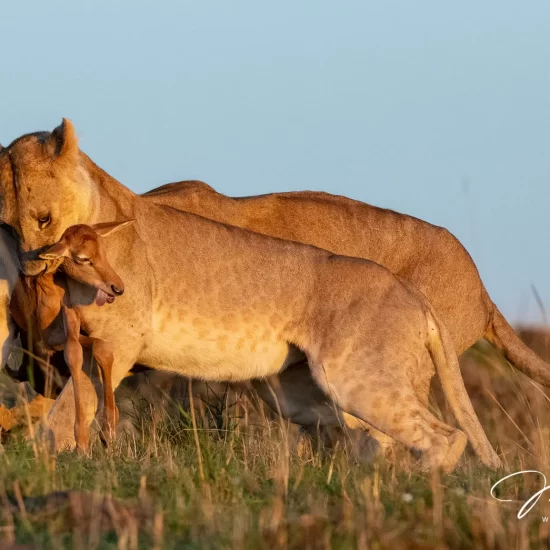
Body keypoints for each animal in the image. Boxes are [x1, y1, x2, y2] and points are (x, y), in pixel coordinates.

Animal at [9, 222, 132, 454]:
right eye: (83, 258)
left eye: (104, 250)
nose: (118, 287)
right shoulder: (44, 343)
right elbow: (74, 356)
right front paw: (82, 442)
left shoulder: (66, 330)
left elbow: (97, 349)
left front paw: (107, 431)